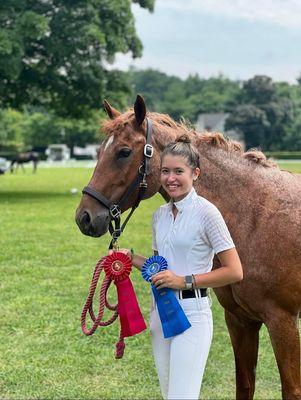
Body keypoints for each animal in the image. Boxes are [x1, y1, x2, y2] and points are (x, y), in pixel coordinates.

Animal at [75, 95, 300, 398]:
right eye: (99, 151)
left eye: (123, 152)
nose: (84, 217)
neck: (256, 217)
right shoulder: (240, 319)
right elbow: (244, 384)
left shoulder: (283, 322)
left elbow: (291, 389)